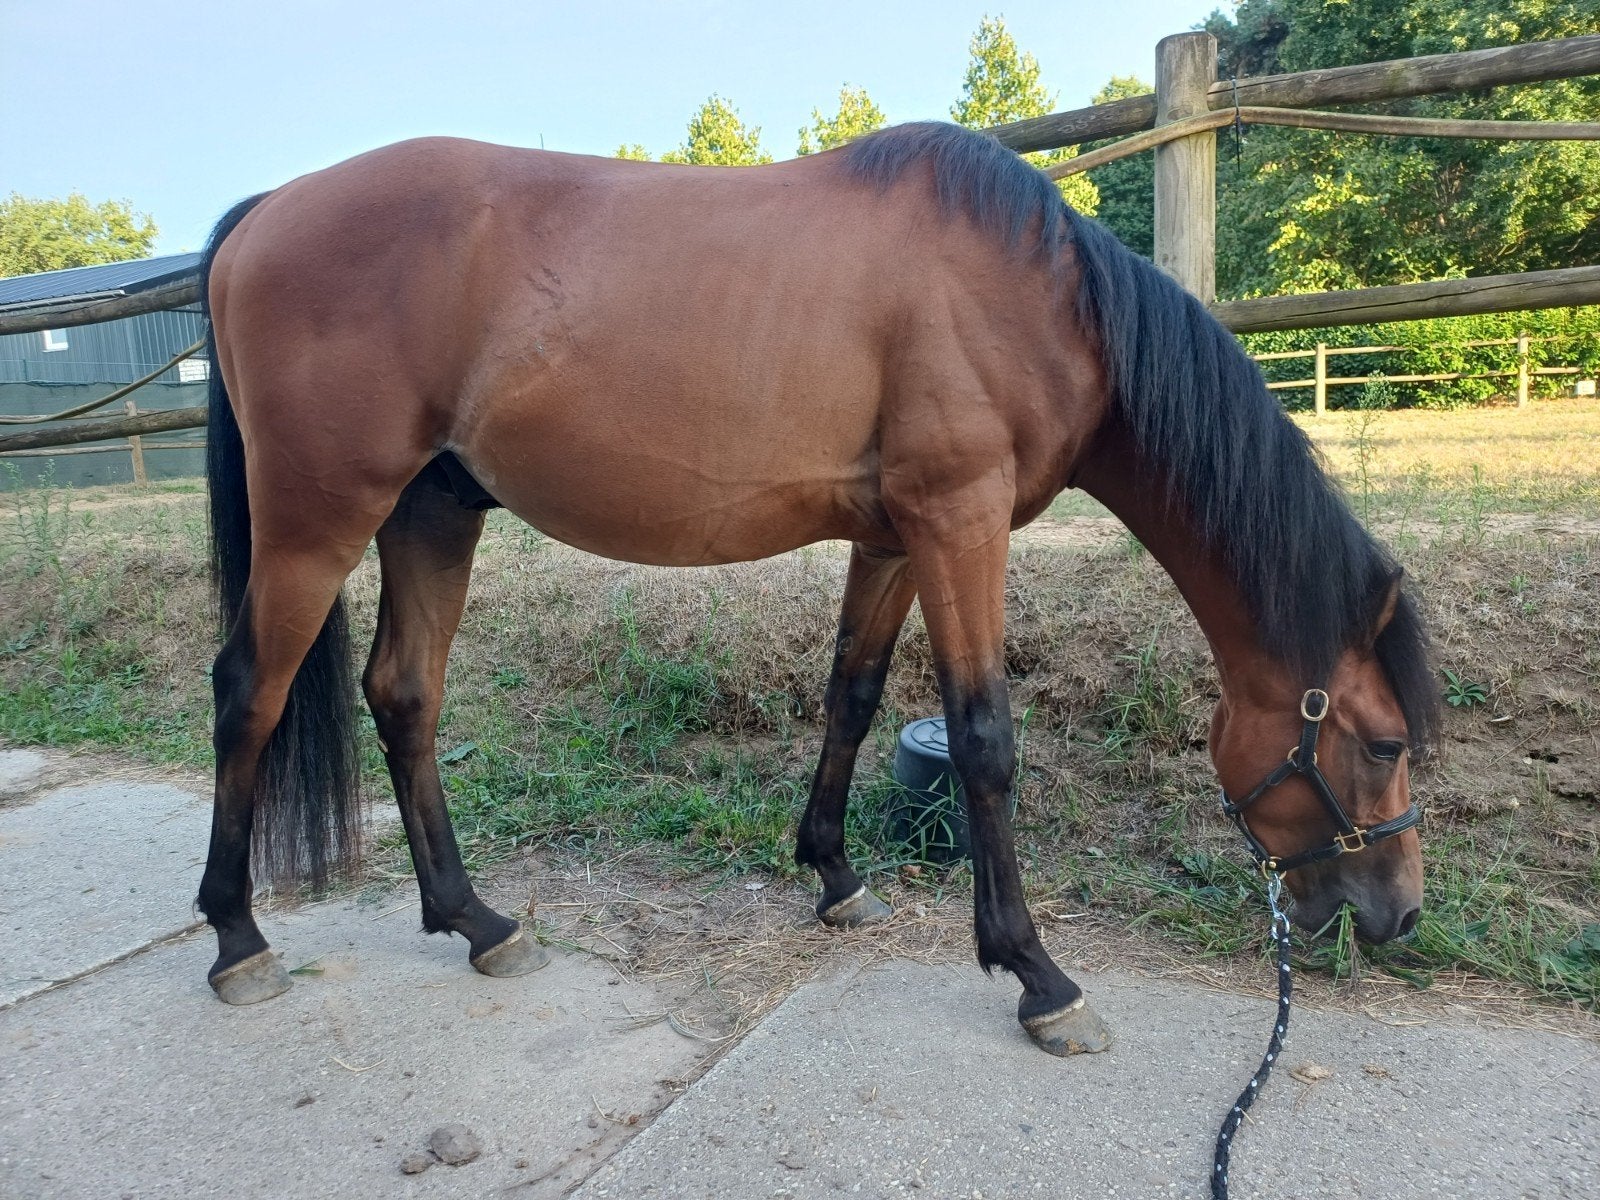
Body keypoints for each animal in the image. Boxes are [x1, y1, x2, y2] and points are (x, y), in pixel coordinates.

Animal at [196, 122, 1439, 1056]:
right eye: (1383, 744)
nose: (1397, 914)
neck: (1039, 299)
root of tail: (263, 212)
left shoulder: (894, 539)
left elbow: (852, 693)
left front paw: (834, 874)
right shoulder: (958, 521)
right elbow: (983, 738)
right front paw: (1035, 974)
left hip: (432, 511)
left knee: (404, 695)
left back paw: (475, 921)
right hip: (318, 519)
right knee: (248, 693)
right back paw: (238, 940)